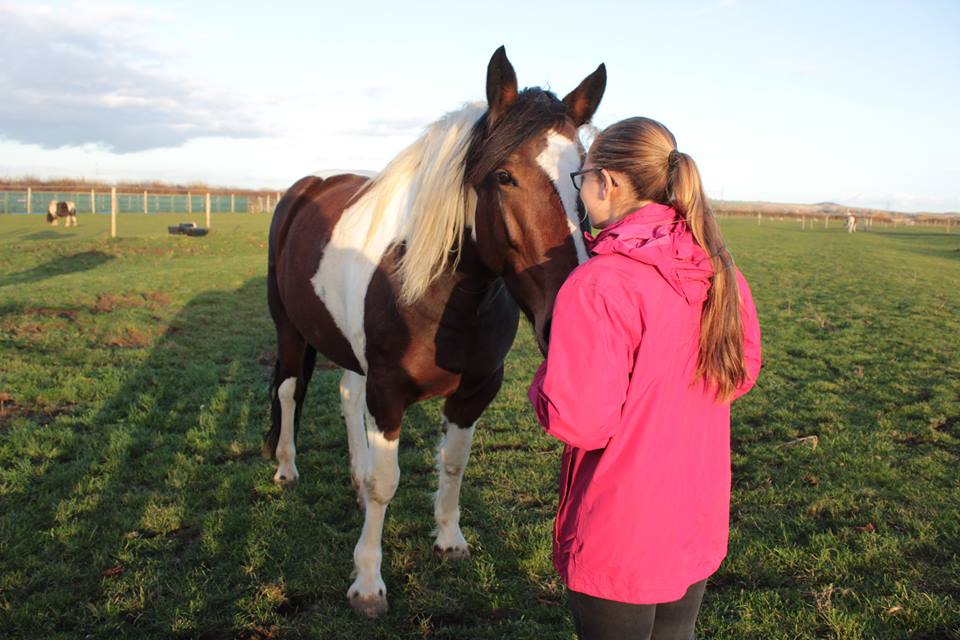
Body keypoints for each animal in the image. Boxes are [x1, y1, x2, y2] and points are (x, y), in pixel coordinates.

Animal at [266, 45, 604, 616]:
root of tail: (308, 185)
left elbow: (453, 463)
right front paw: (368, 583)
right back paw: (287, 469)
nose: (568, 320)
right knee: (290, 392)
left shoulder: (477, 389)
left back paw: (352, 476)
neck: (443, 294)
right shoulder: (388, 391)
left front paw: (449, 538)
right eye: (504, 176)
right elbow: (386, 483)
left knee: (346, 396)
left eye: (583, 176)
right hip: (289, 328)